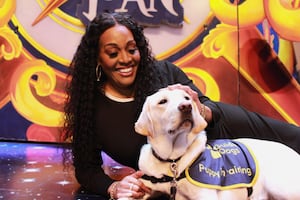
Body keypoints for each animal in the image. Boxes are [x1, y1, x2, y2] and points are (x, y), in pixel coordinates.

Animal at [135, 87, 300, 200]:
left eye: (187, 97)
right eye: (162, 101)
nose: (186, 106)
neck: (173, 160)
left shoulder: (206, 195)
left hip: (279, 186)